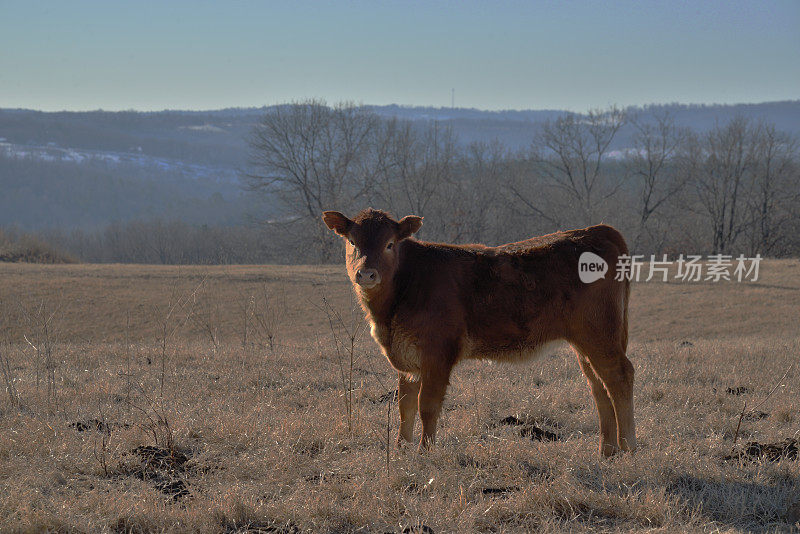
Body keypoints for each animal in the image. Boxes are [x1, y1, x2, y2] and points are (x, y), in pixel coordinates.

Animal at [322, 211, 636, 458]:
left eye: (389, 244)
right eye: (352, 242)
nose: (366, 274)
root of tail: (597, 230)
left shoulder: (437, 353)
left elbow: (427, 405)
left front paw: (425, 451)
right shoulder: (408, 357)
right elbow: (405, 405)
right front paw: (401, 448)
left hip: (599, 336)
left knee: (619, 376)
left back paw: (628, 448)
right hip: (585, 343)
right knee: (598, 386)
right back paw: (607, 451)